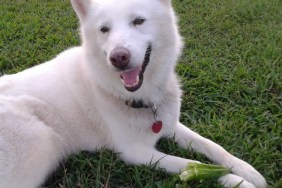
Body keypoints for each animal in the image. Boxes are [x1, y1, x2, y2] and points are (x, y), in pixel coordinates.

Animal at [0, 0, 266, 187]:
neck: (141, 98)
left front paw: (245, 170)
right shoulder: (137, 153)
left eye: (138, 21)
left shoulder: (169, 125)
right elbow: (190, 163)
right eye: (104, 29)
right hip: (41, 142)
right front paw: (235, 181)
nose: (118, 58)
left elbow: (211, 146)